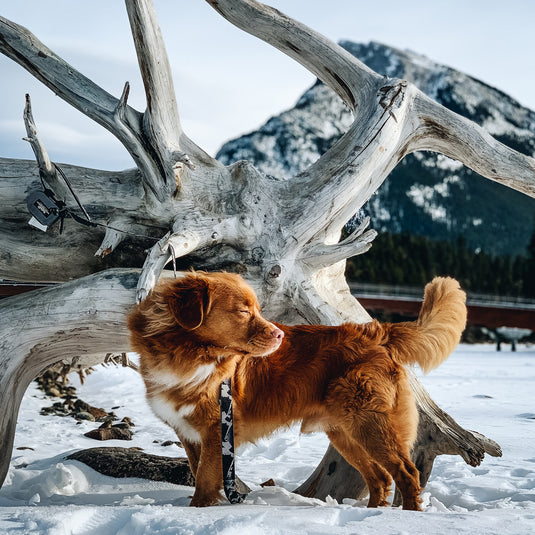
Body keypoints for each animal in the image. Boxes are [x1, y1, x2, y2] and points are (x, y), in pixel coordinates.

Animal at [127, 272, 466, 510]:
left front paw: (196, 512)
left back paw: (403, 516)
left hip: (371, 423)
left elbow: (204, 481)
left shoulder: (216, 432)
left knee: (407, 473)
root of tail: (375, 333)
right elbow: (199, 473)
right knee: (380, 478)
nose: (279, 334)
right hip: (345, 431)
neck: (187, 354)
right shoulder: (190, 434)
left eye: (256, 309)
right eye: (243, 311)